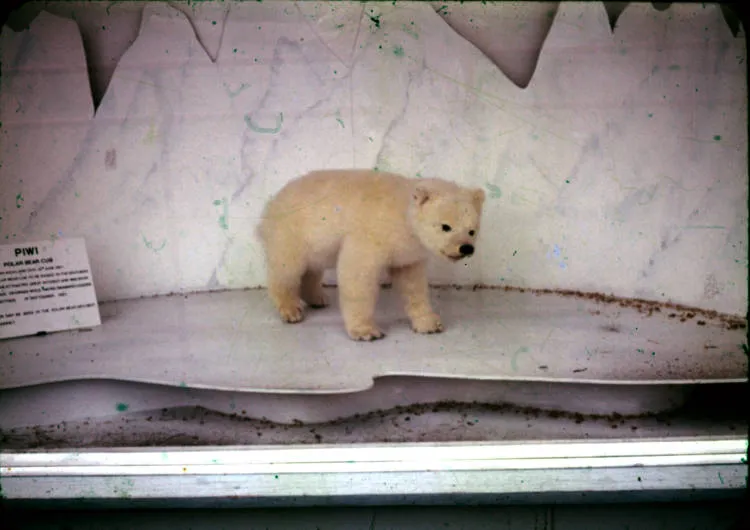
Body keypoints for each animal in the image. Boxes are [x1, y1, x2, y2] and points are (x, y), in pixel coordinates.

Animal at [256, 169, 485, 341]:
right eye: (445, 226)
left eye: (472, 230)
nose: (466, 248)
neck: (401, 211)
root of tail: (270, 205)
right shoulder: (371, 235)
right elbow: (358, 275)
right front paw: (366, 331)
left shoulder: (407, 251)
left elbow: (413, 284)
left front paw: (429, 323)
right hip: (291, 231)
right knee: (287, 268)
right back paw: (290, 309)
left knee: (312, 267)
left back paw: (317, 298)